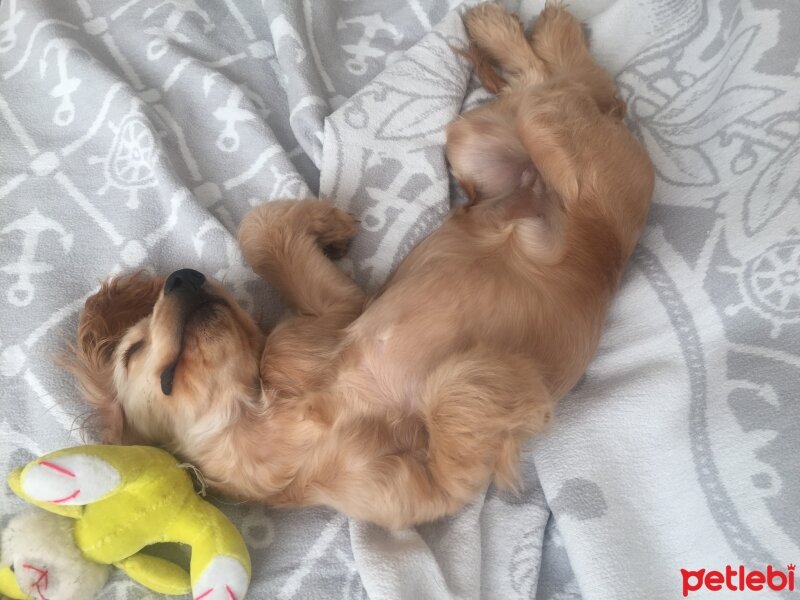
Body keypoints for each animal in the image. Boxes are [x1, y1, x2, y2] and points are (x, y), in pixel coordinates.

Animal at [65, 5, 652, 528]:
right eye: (133, 351)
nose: (183, 276)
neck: (267, 406)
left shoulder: (330, 317)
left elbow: (260, 230)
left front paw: (331, 224)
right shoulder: (421, 489)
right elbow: (457, 401)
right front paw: (486, 373)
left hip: (528, 145)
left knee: (564, 87)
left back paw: (516, 26)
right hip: (496, 142)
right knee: (561, 88)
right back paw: (520, 28)